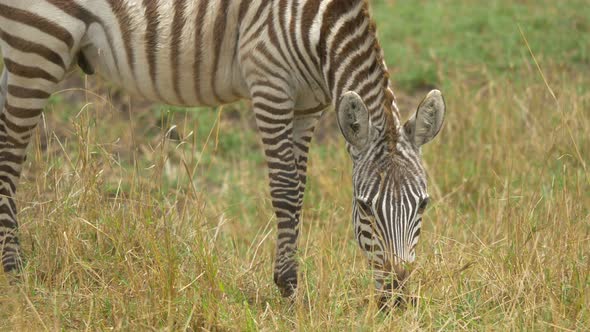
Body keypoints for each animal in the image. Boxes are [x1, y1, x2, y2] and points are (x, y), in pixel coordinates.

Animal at [0, 0, 444, 300]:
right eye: (365, 207)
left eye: (423, 205)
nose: (398, 296)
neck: (317, 29)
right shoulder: (269, 84)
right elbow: (285, 189)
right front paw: (288, 289)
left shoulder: (308, 106)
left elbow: (300, 189)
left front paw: (290, 285)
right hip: (38, 41)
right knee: (9, 153)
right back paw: (13, 270)